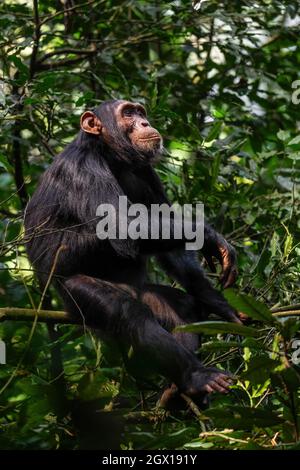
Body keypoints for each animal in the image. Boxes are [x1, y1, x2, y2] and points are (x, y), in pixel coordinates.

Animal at [25, 100, 241, 400]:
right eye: (128, 113)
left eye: (140, 112)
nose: (144, 123)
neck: (110, 155)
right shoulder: (83, 171)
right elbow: (122, 227)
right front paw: (211, 237)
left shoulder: (146, 174)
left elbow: (168, 238)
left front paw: (217, 302)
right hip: (73, 294)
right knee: (127, 311)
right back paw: (196, 377)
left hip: (142, 291)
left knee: (181, 308)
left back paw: (180, 391)